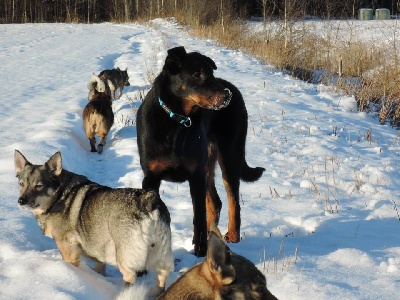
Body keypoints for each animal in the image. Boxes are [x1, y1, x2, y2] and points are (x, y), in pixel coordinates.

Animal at [14, 150, 173, 298]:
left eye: (38, 186)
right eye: (21, 184)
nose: (21, 201)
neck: (58, 197)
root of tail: (148, 201)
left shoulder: (67, 248)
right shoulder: (94, 248)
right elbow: (99, 265)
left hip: (125, 258)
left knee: (130, 278)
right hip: (159, 254)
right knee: (163, 274)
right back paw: (156, 292)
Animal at [136, 46, 264, 255]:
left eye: (211, 73)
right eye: (197, 74)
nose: (226, 95)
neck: (177, 121)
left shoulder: (195, 175)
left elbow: (198, 217)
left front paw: (200, 250)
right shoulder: (151, 177)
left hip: (229, 156)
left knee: (233, 201)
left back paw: (232, 236)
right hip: (208, 165)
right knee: (215, 202)